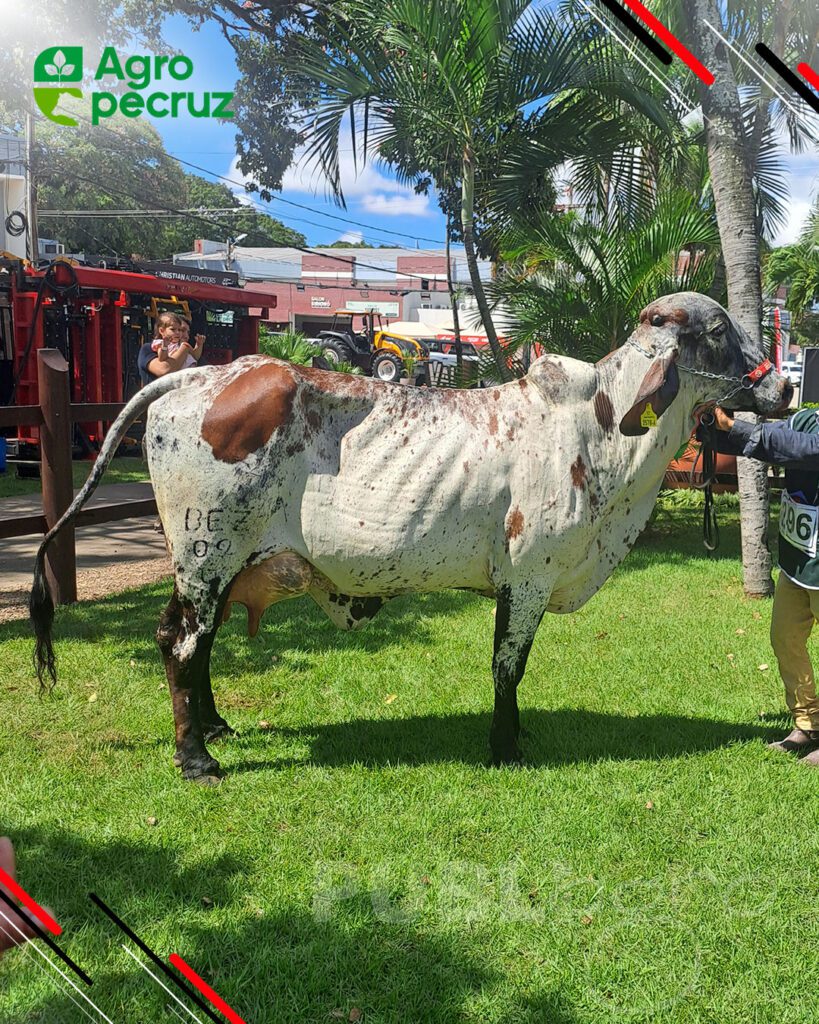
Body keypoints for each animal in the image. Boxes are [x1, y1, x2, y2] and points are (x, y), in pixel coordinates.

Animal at [31, 293, 791, 783]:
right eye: (718, 331)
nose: (784, 387)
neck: (601, 434)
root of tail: (210, 373)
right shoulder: (527, 577)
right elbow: (507, 666)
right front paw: (505, 744)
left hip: (212, 564)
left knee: (192, 641)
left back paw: (215, 727)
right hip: (205, 552)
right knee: (182, 644)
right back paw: (197, 761)